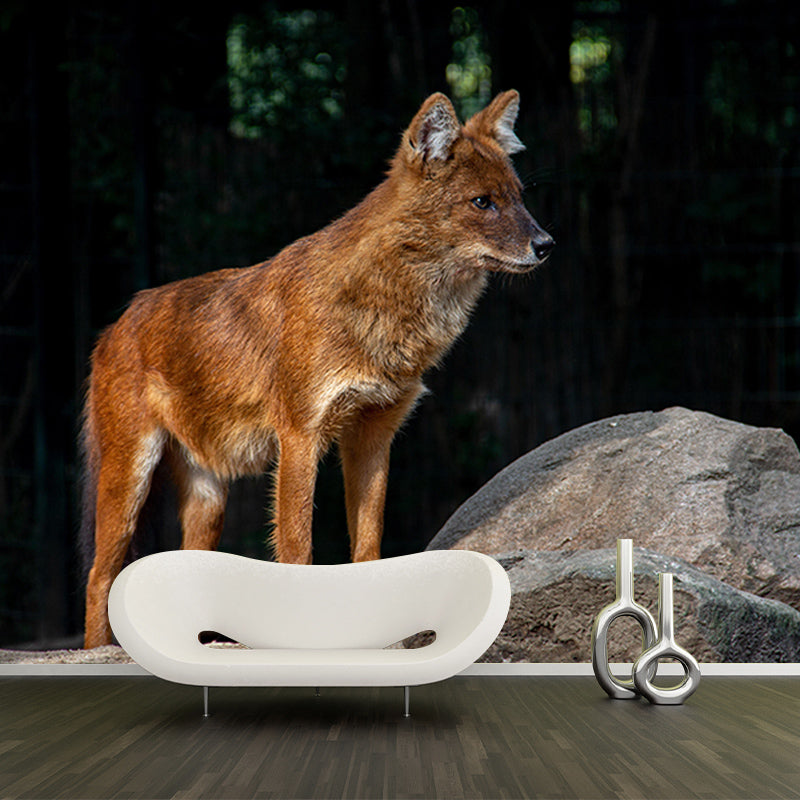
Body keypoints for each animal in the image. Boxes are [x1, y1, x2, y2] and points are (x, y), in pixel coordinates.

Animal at [81, 90, 555, 648]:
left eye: (519, 197)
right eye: (483, 202)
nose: (547, 244)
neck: (390, 311)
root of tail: (117, 322)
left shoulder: (372, 436)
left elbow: (368, 544)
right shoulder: (300, 436)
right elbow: (296, 547)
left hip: (208, 493)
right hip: (130, 471)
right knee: (99, 575)